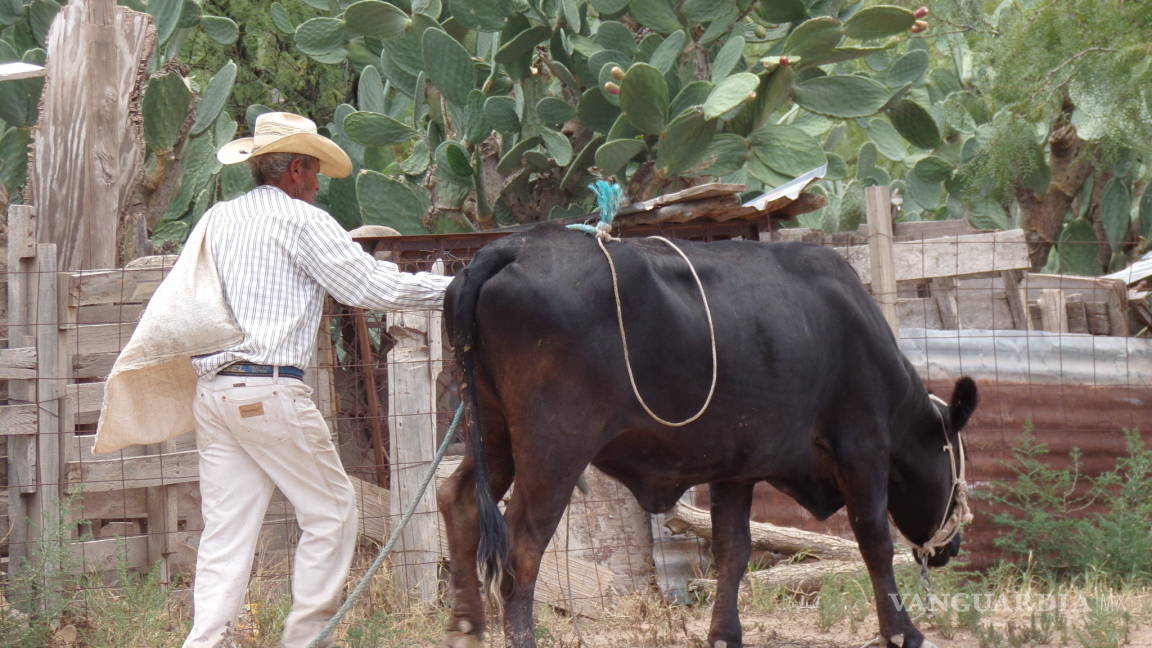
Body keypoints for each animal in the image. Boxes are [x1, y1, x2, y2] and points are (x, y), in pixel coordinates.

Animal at [437, 224, 977, 648]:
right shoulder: (862, 446)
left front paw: (724, 633)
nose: (952, 546)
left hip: (493, 432)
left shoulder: (736, 467)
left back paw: (466, 627)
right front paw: (903, 631)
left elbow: (732, 551)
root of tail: (512, 247)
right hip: (555, 448)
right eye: (956, 468)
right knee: (523, 544)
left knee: (457, 498)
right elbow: (875, 541)